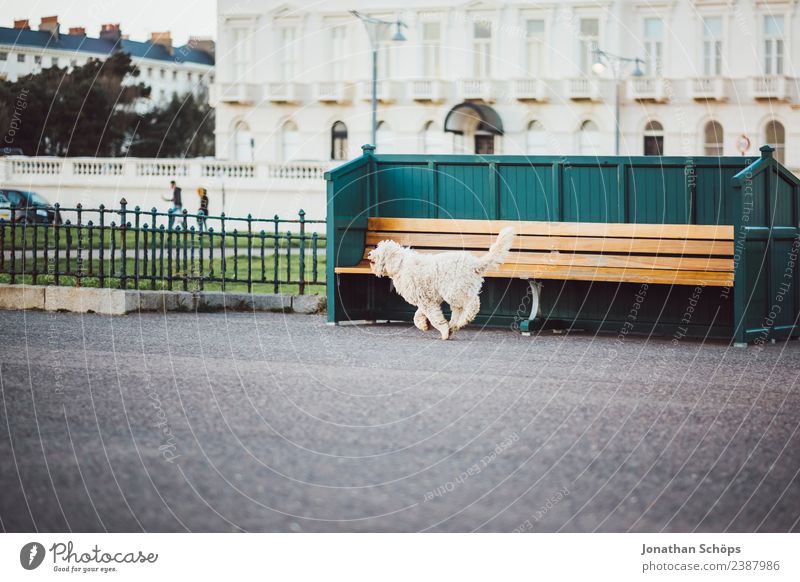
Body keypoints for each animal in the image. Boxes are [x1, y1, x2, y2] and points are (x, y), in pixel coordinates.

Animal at [368, 227, 516, 340]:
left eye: (379, 252)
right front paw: (423, 325)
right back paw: (454, 325)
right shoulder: (428, 300)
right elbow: (418, 314)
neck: (400, 264)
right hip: (459, 291)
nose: (369, 254)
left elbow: (434, 317)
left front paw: (443, 331)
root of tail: (474, 264)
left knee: (473, 304)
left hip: (456, 290)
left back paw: (461, 322)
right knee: (460, 309)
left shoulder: (426, 301)